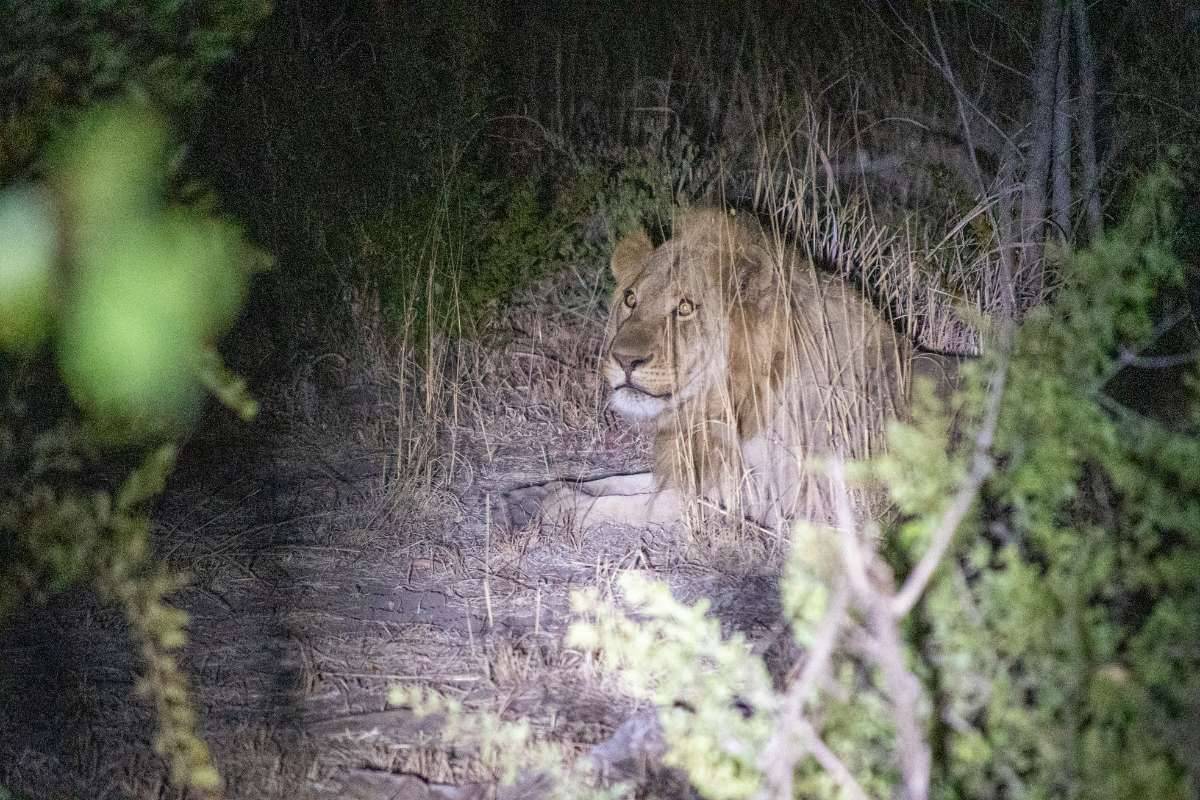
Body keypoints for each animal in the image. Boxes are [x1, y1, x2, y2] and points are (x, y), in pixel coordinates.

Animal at [505, 207, 943, 532]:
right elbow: (621, 481)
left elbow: (655, 504)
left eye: (685, 308)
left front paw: (562, 507)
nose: (623, 359)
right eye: (630, 300)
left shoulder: (791, 505)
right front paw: (537, 492)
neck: (728, 402)